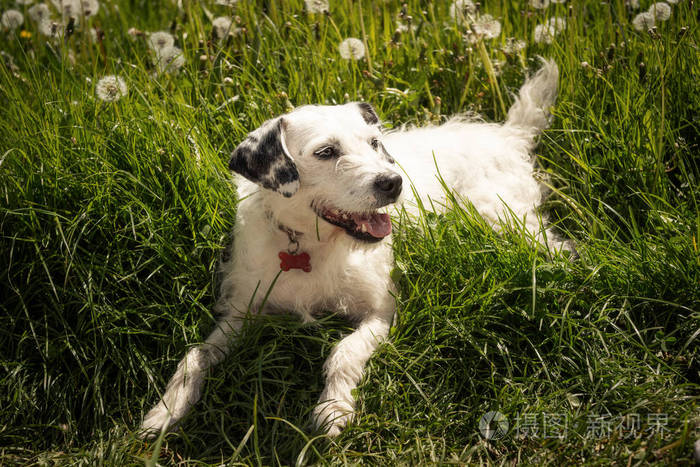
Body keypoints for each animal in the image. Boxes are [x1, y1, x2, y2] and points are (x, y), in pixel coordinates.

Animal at [141, 58, 568, 438]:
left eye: (375, 143)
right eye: (326, 152)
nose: (393, 183)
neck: (310, 245)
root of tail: (506, 135)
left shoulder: (381, 311)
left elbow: (344, 352)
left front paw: (333, 408)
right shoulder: (240, 315)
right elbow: (194, 356)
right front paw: (163, 412)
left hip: (503, 218)